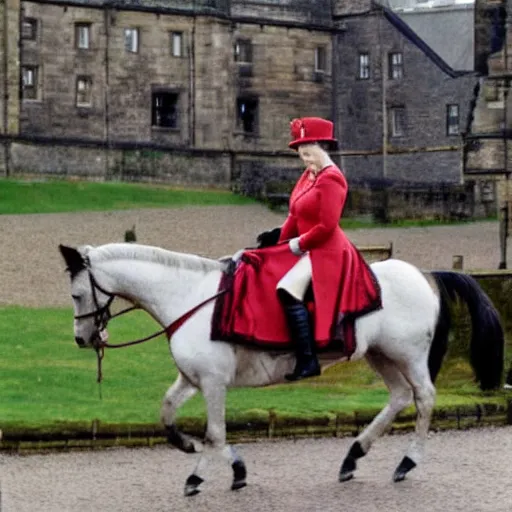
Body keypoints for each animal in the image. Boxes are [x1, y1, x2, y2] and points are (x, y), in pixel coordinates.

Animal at [58, 244, 502, 496]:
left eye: (77, 294)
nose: (81, 338)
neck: (190, 296)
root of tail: (423, 273)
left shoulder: (213, 381)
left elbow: (215, 433)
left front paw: (199, 477)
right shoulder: (192, 378)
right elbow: (169, 416)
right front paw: (203, 453)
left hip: (407, 354)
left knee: (424, 398)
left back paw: (407, 462)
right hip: (379, 354)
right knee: (399, 397)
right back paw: (353, 456)